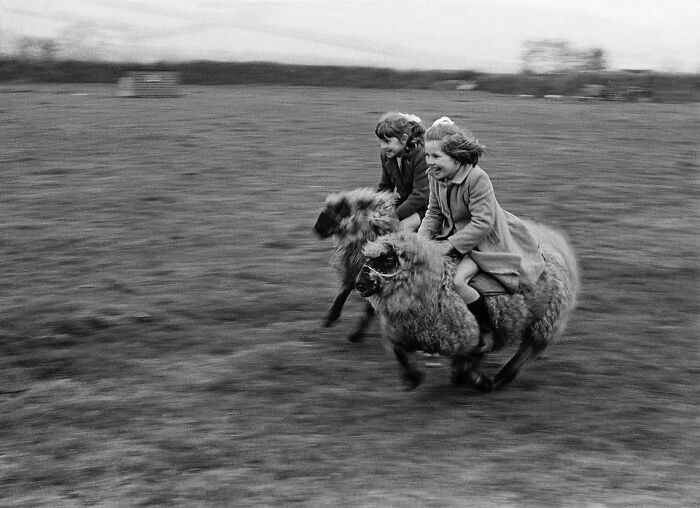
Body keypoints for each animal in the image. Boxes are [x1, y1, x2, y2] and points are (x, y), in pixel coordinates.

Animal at [313, 188, 399, 342]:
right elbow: (343, 292)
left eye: (333, 214)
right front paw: (331, 317)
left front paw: (356, 335)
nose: (316, 229)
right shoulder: (354, 268)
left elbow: (368, 309)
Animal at [355, 227, 580, 391]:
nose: (359, 284)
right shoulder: (406, 334)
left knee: (530, 350)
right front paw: (413, 378)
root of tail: (555, 249)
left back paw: (503, 376)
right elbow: (399, 352)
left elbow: (466, 362)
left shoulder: (467, 337)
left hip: (544, 320)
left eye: (388, 260)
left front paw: (479, 380)